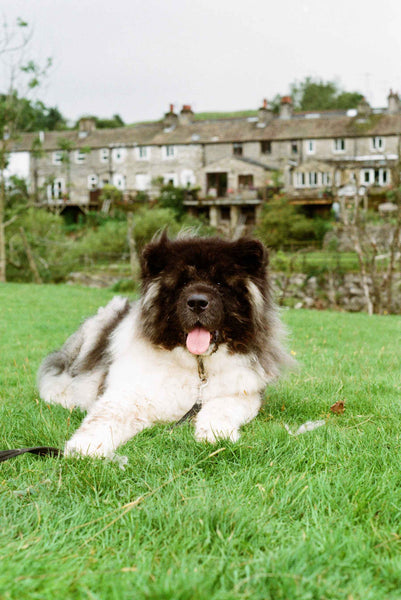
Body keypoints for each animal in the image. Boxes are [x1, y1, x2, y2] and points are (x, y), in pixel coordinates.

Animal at [38, 232, 290, 458]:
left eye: (219, 282)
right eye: (183, 282)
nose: (197, 302)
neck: (197, 366)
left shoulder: (242, 395)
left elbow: (220, 409)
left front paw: (215, 435)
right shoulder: (126, 395)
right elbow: (104, 418)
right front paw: (84, 447)